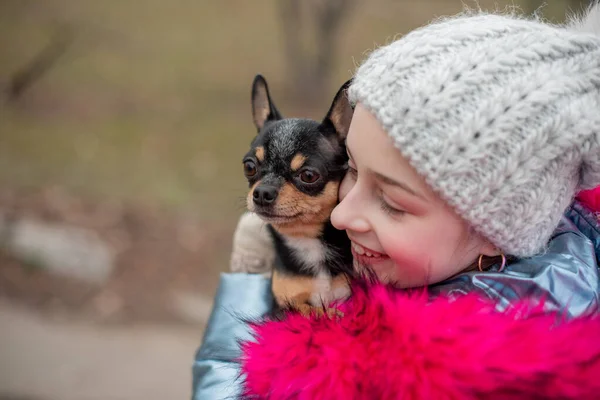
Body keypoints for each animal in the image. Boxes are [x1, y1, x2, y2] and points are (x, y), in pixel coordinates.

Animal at [244, 74, 354, 312]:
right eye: (249, 167)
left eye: (309, 175)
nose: (262, 192)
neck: (306, 240)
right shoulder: (282, 306)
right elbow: (307, 309)